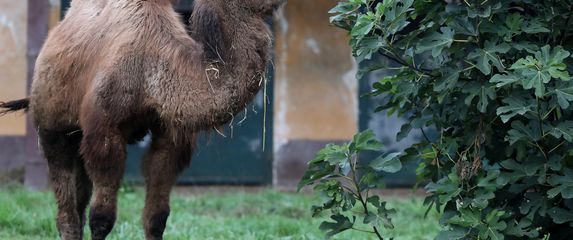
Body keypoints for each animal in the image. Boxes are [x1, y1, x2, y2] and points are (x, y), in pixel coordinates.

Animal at [0, 0, 284, 239]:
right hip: (52, 124)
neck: (153, 72)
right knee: (67, 211)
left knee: (79, 201)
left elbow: (157, 217)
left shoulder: (170, 135)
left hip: (78, 135)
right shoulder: (105, 132)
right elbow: (101, 218)